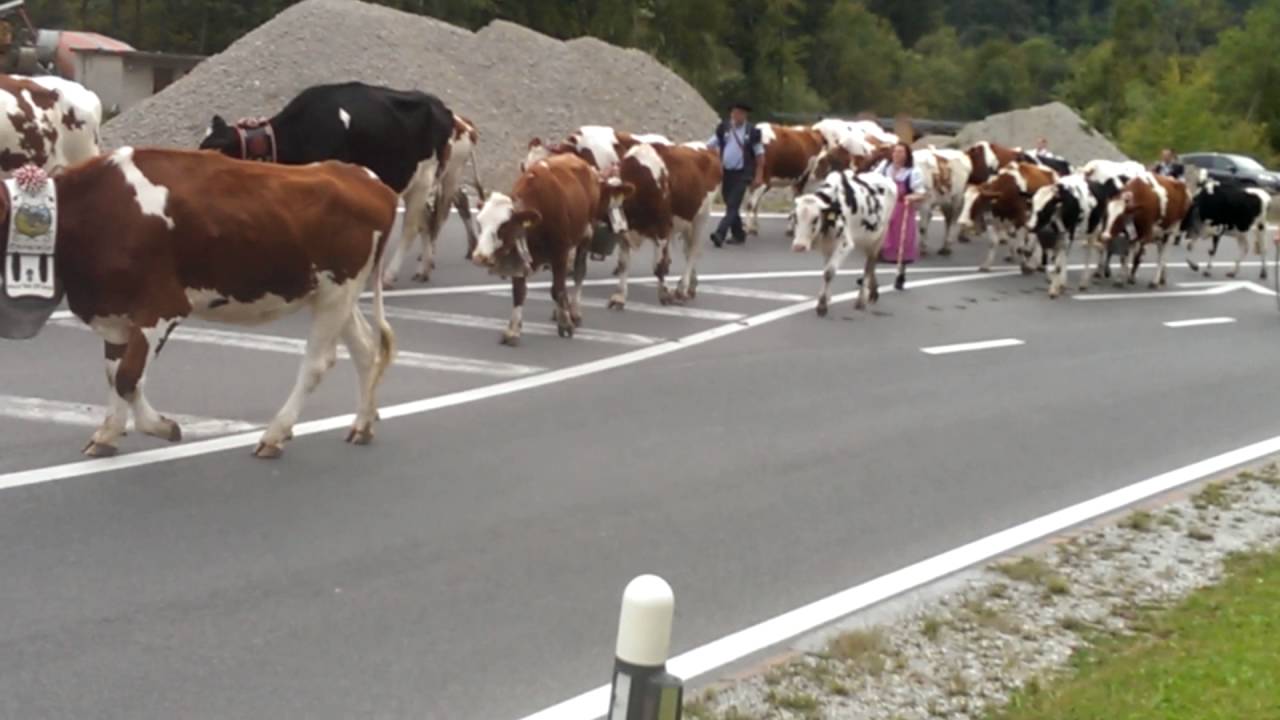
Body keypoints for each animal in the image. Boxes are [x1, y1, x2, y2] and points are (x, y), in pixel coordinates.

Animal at [0, 149, 399, 459]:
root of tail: (365, 178)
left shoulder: (162, 305)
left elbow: (129, 378)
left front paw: (163, 427)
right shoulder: (113, 313)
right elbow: (115, 375)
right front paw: (107, 434)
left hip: (338, 292)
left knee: (318, 363)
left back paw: (274, 435)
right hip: (331, 294)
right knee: (366, 349)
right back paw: (362, 425)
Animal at [198, 81, 479, 287]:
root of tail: (443, 108)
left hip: (425, 178)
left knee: (413, 226)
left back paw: (390, 275)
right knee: (428, 220)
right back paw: (424, 269)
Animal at [471, 153, 634, 346]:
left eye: (503, 226)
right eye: (480, 223)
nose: (479, 256)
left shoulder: (560, 253)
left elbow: (558, 289)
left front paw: (565, 324)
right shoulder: (521, 256)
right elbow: (519, 292)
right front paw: (513, 331)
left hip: (586, 233)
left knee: (578, 273)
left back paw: (574, 312)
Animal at [608, 142, 722, 309]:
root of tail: (707, 147)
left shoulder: (662, 229)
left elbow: (659, 266)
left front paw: (665, 295)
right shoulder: (625, 233)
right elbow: (623, 263)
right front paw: (619, 297)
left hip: (701, 217)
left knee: (693, 252)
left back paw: (682, 289)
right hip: (686, 222)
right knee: (688, 250)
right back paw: (691, 286)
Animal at [790, 169, 898, 317]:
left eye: (815, 219)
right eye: (795, 217)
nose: (799, 246)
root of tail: (885, 177)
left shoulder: (845, 244)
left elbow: (829, 272)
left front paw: (822, 305)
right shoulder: (827, 246)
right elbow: (826, 269)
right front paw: (826, 297)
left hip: (880, 235)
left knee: (870, 264)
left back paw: (861, 300)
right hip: (866, 238)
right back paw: (873, 292)